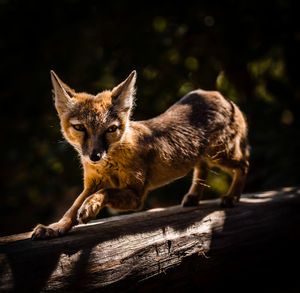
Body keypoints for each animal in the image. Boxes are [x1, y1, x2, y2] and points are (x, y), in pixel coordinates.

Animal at [31, 69, 250, 238]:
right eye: (80, 127)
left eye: (110, 129)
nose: (94, 156)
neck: (109, 165)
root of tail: (220, 95)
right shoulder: (92, 183)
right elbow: (72, 208)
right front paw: (55, 227)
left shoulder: (136, 195)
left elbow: (106, 192)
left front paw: (91, 205)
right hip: (203, 156)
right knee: (202, 168)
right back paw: (193, 197)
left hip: (222, 156)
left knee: (244, 165)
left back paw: (232, 197)